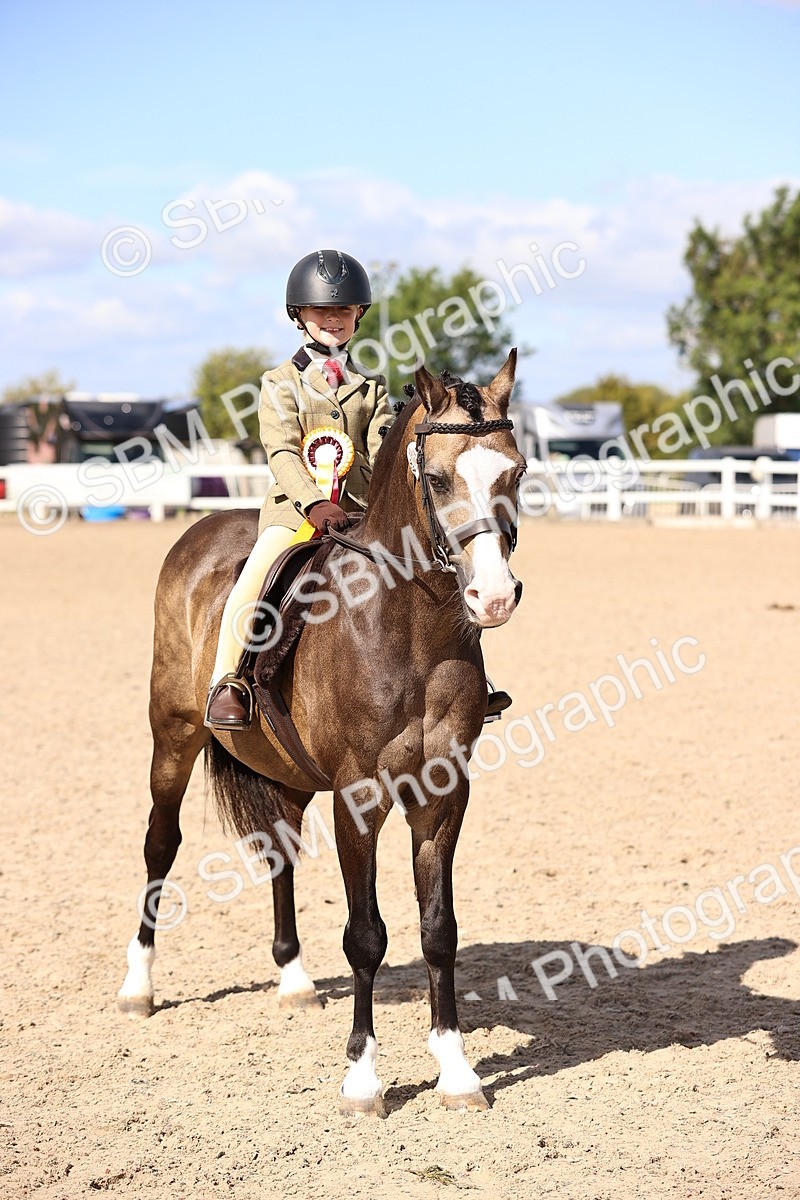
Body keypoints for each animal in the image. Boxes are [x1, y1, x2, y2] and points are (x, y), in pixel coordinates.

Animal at [118, 349, 526, 1115]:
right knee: (160, 845)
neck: (410, 626)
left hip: (287, 772)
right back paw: (138, 987)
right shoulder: (359, 797)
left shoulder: (443, 795)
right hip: (174, 736)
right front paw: (363, 1079)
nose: (493, 598)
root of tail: (202, 528)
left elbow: (439, 929)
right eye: (437, 479)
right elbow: (366, 935)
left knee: (278, 851)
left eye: (514, 472)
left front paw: (457, 1071)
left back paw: (294, 980)